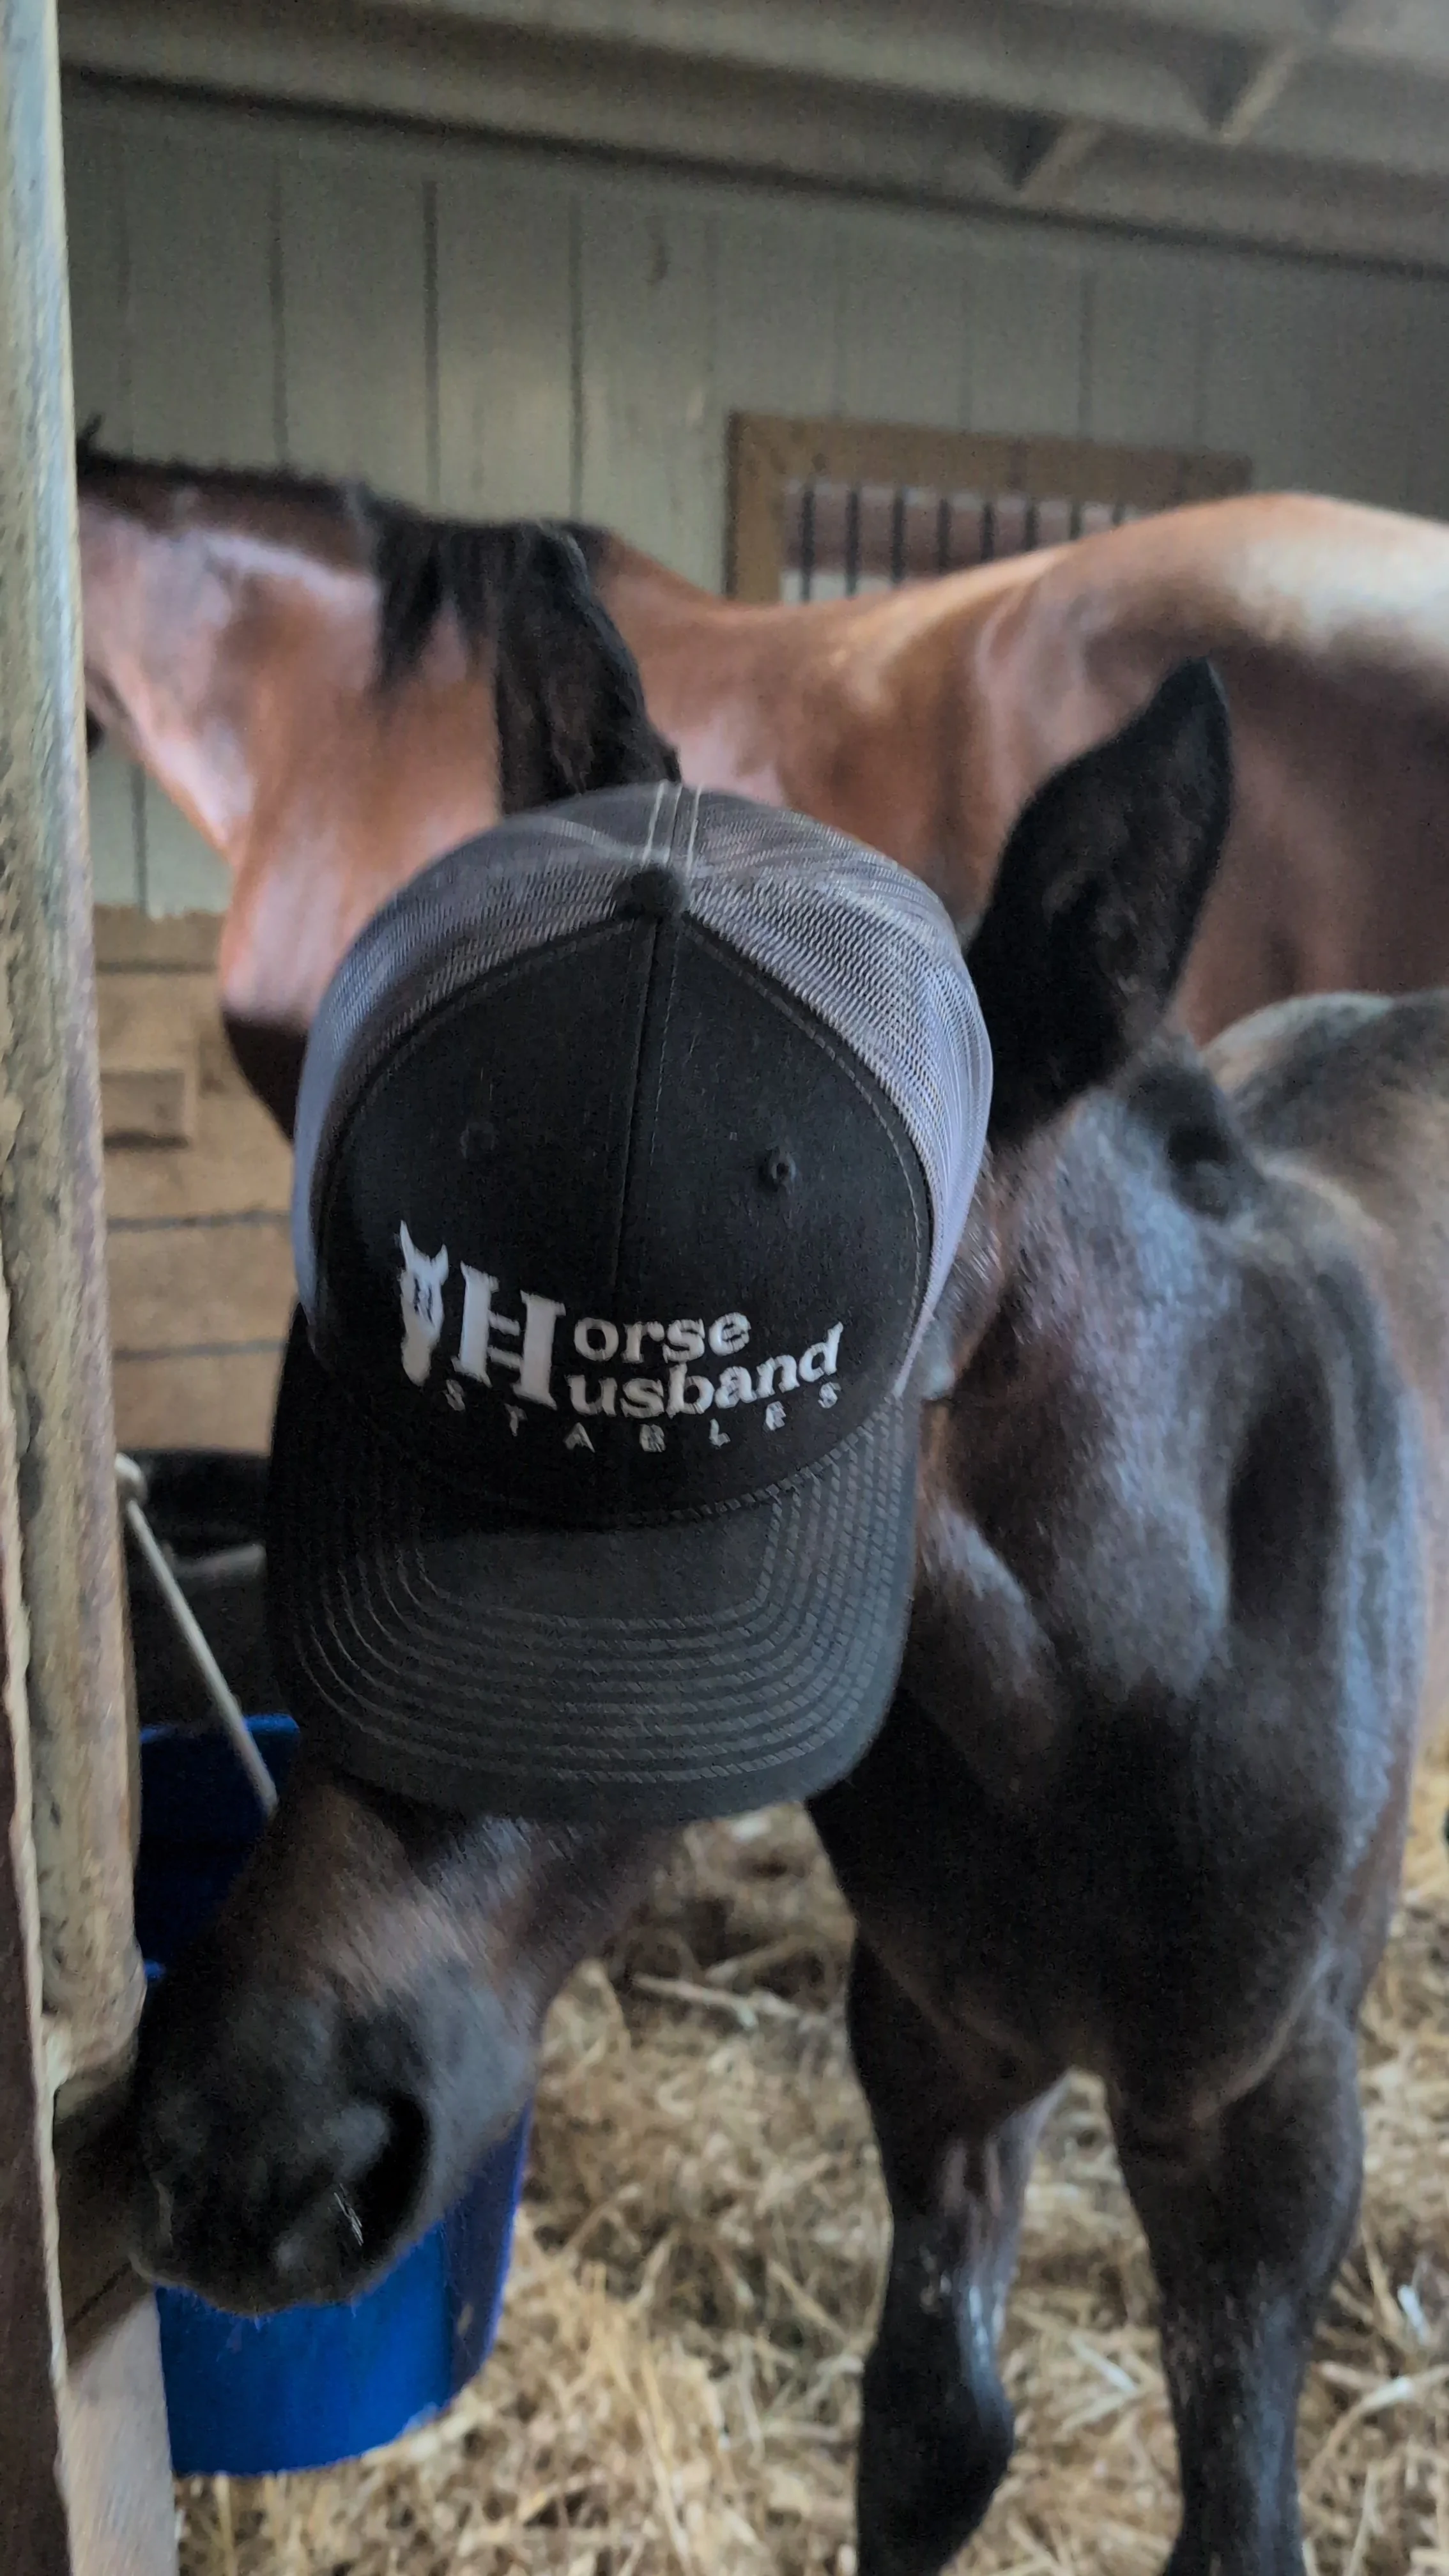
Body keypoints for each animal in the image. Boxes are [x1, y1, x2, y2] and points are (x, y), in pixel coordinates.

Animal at [125, 654, 1448, 2576]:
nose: (243, 2150)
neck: (1111, 1701)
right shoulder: (942, 2046)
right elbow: (930, 2437)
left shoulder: (1261, 2147)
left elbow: (1232, 2530)